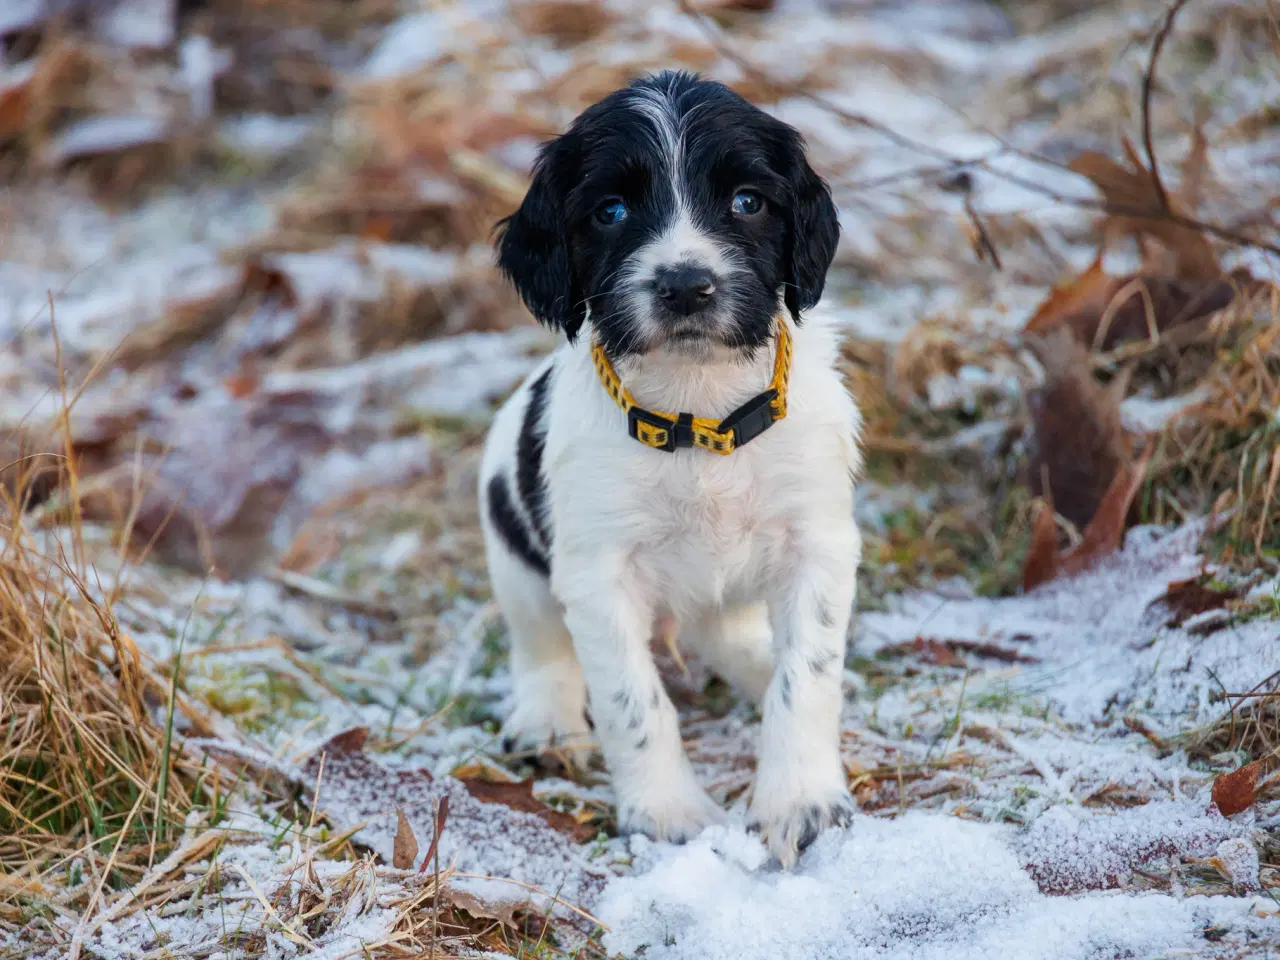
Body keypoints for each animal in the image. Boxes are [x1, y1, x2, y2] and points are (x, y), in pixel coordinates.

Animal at [481, 71, 870, 870]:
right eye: (611, 210)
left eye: (748, 201)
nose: (687, 285)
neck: (701, 422)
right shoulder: (597, 574)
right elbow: (634, 701)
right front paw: (668, 814)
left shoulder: (816, 543)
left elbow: (807, 677)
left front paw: (801, 801)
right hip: (510, 541)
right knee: (540, 643)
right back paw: (546, 721)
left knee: (735, 639)